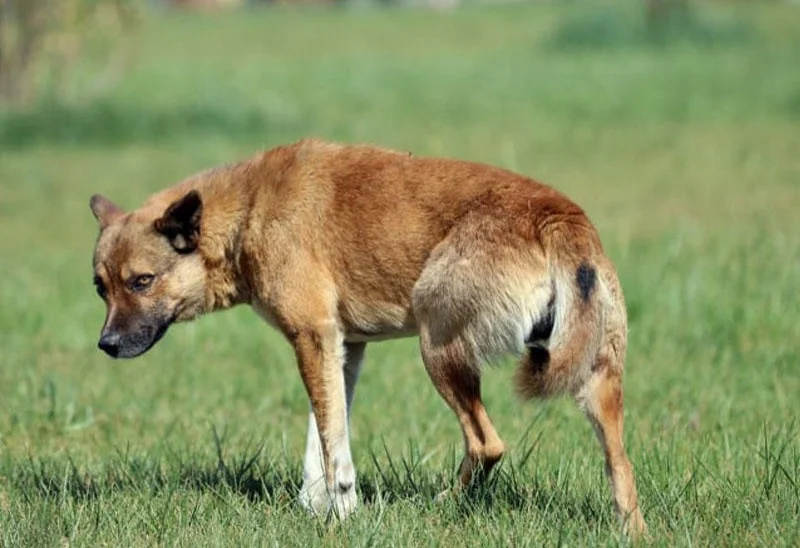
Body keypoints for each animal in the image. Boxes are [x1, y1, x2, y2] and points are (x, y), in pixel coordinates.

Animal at [89, 138, 644, 536]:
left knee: (488, 444)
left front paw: (343, 513)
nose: (106, 346)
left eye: (142, 281)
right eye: (100, 287)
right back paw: (631, 530)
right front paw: (313, 508)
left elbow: (334, 447)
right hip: (594, 380)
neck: (250, 210)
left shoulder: (313, 337)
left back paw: (440, 507)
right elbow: (320, 440)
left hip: (438, 350)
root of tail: (558, 217)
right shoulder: (342, 347)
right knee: (620, 465)